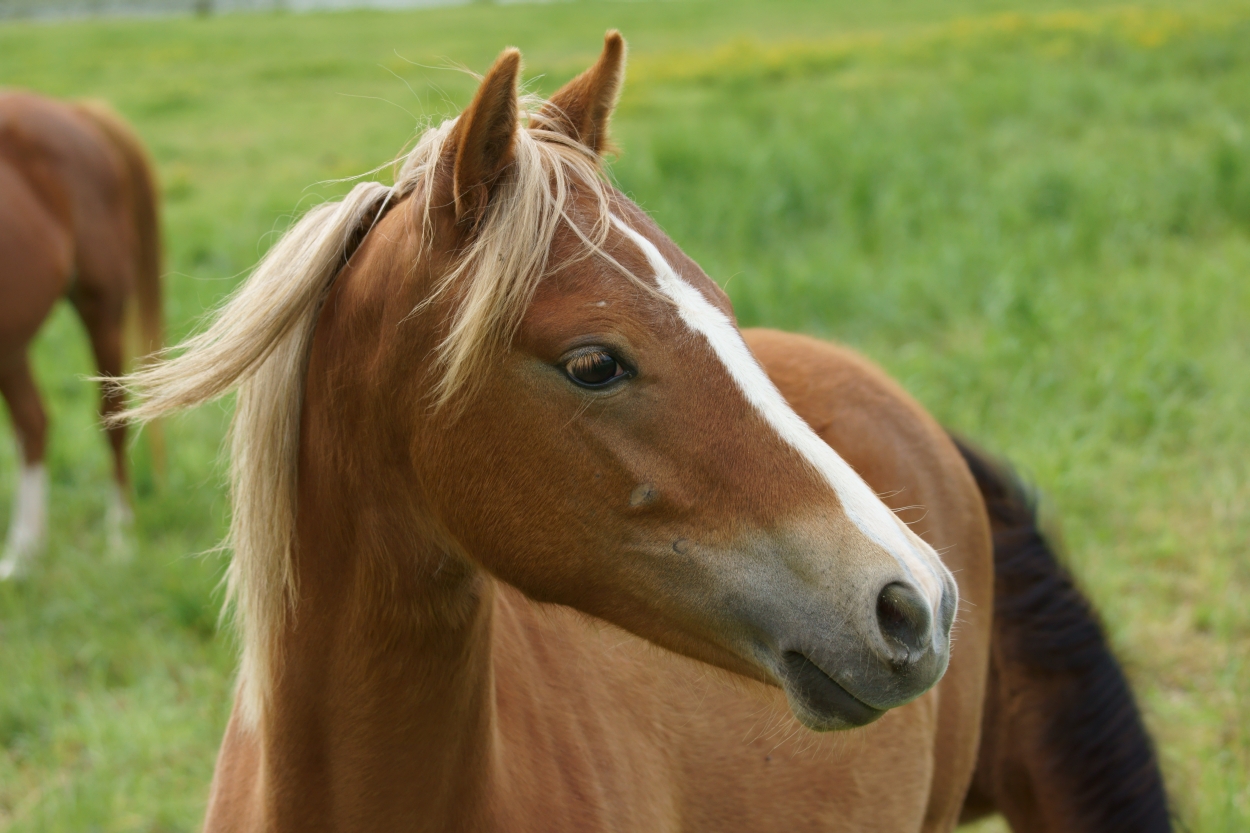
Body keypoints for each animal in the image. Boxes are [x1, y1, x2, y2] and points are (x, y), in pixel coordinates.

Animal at [0, 90, 162, 577]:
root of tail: (74, 108)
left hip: (101, 307)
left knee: (113, 414)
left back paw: (119, 535)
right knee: (32, 423)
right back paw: (23, 553)